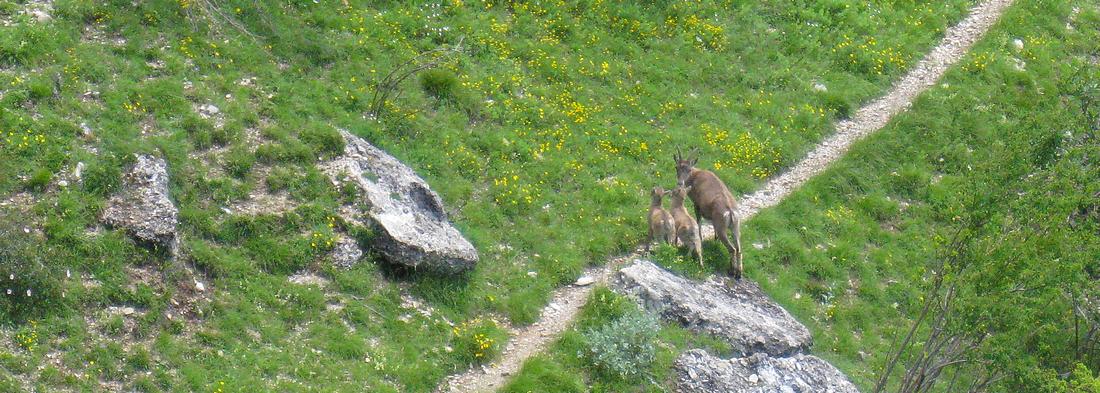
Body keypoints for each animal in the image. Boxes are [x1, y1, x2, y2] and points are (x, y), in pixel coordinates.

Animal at [668, 147, 748, 278]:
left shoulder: (697, 204)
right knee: (739, 248)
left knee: (732, 249)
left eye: (689, 169)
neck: (695, 176)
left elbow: (699, 222)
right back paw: (739, 273)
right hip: (736, 226)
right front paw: (714, 239)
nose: (680, 183)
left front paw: (701, 239)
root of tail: (731, 212)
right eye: (676, 167)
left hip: (722, 227)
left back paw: (732, 271)